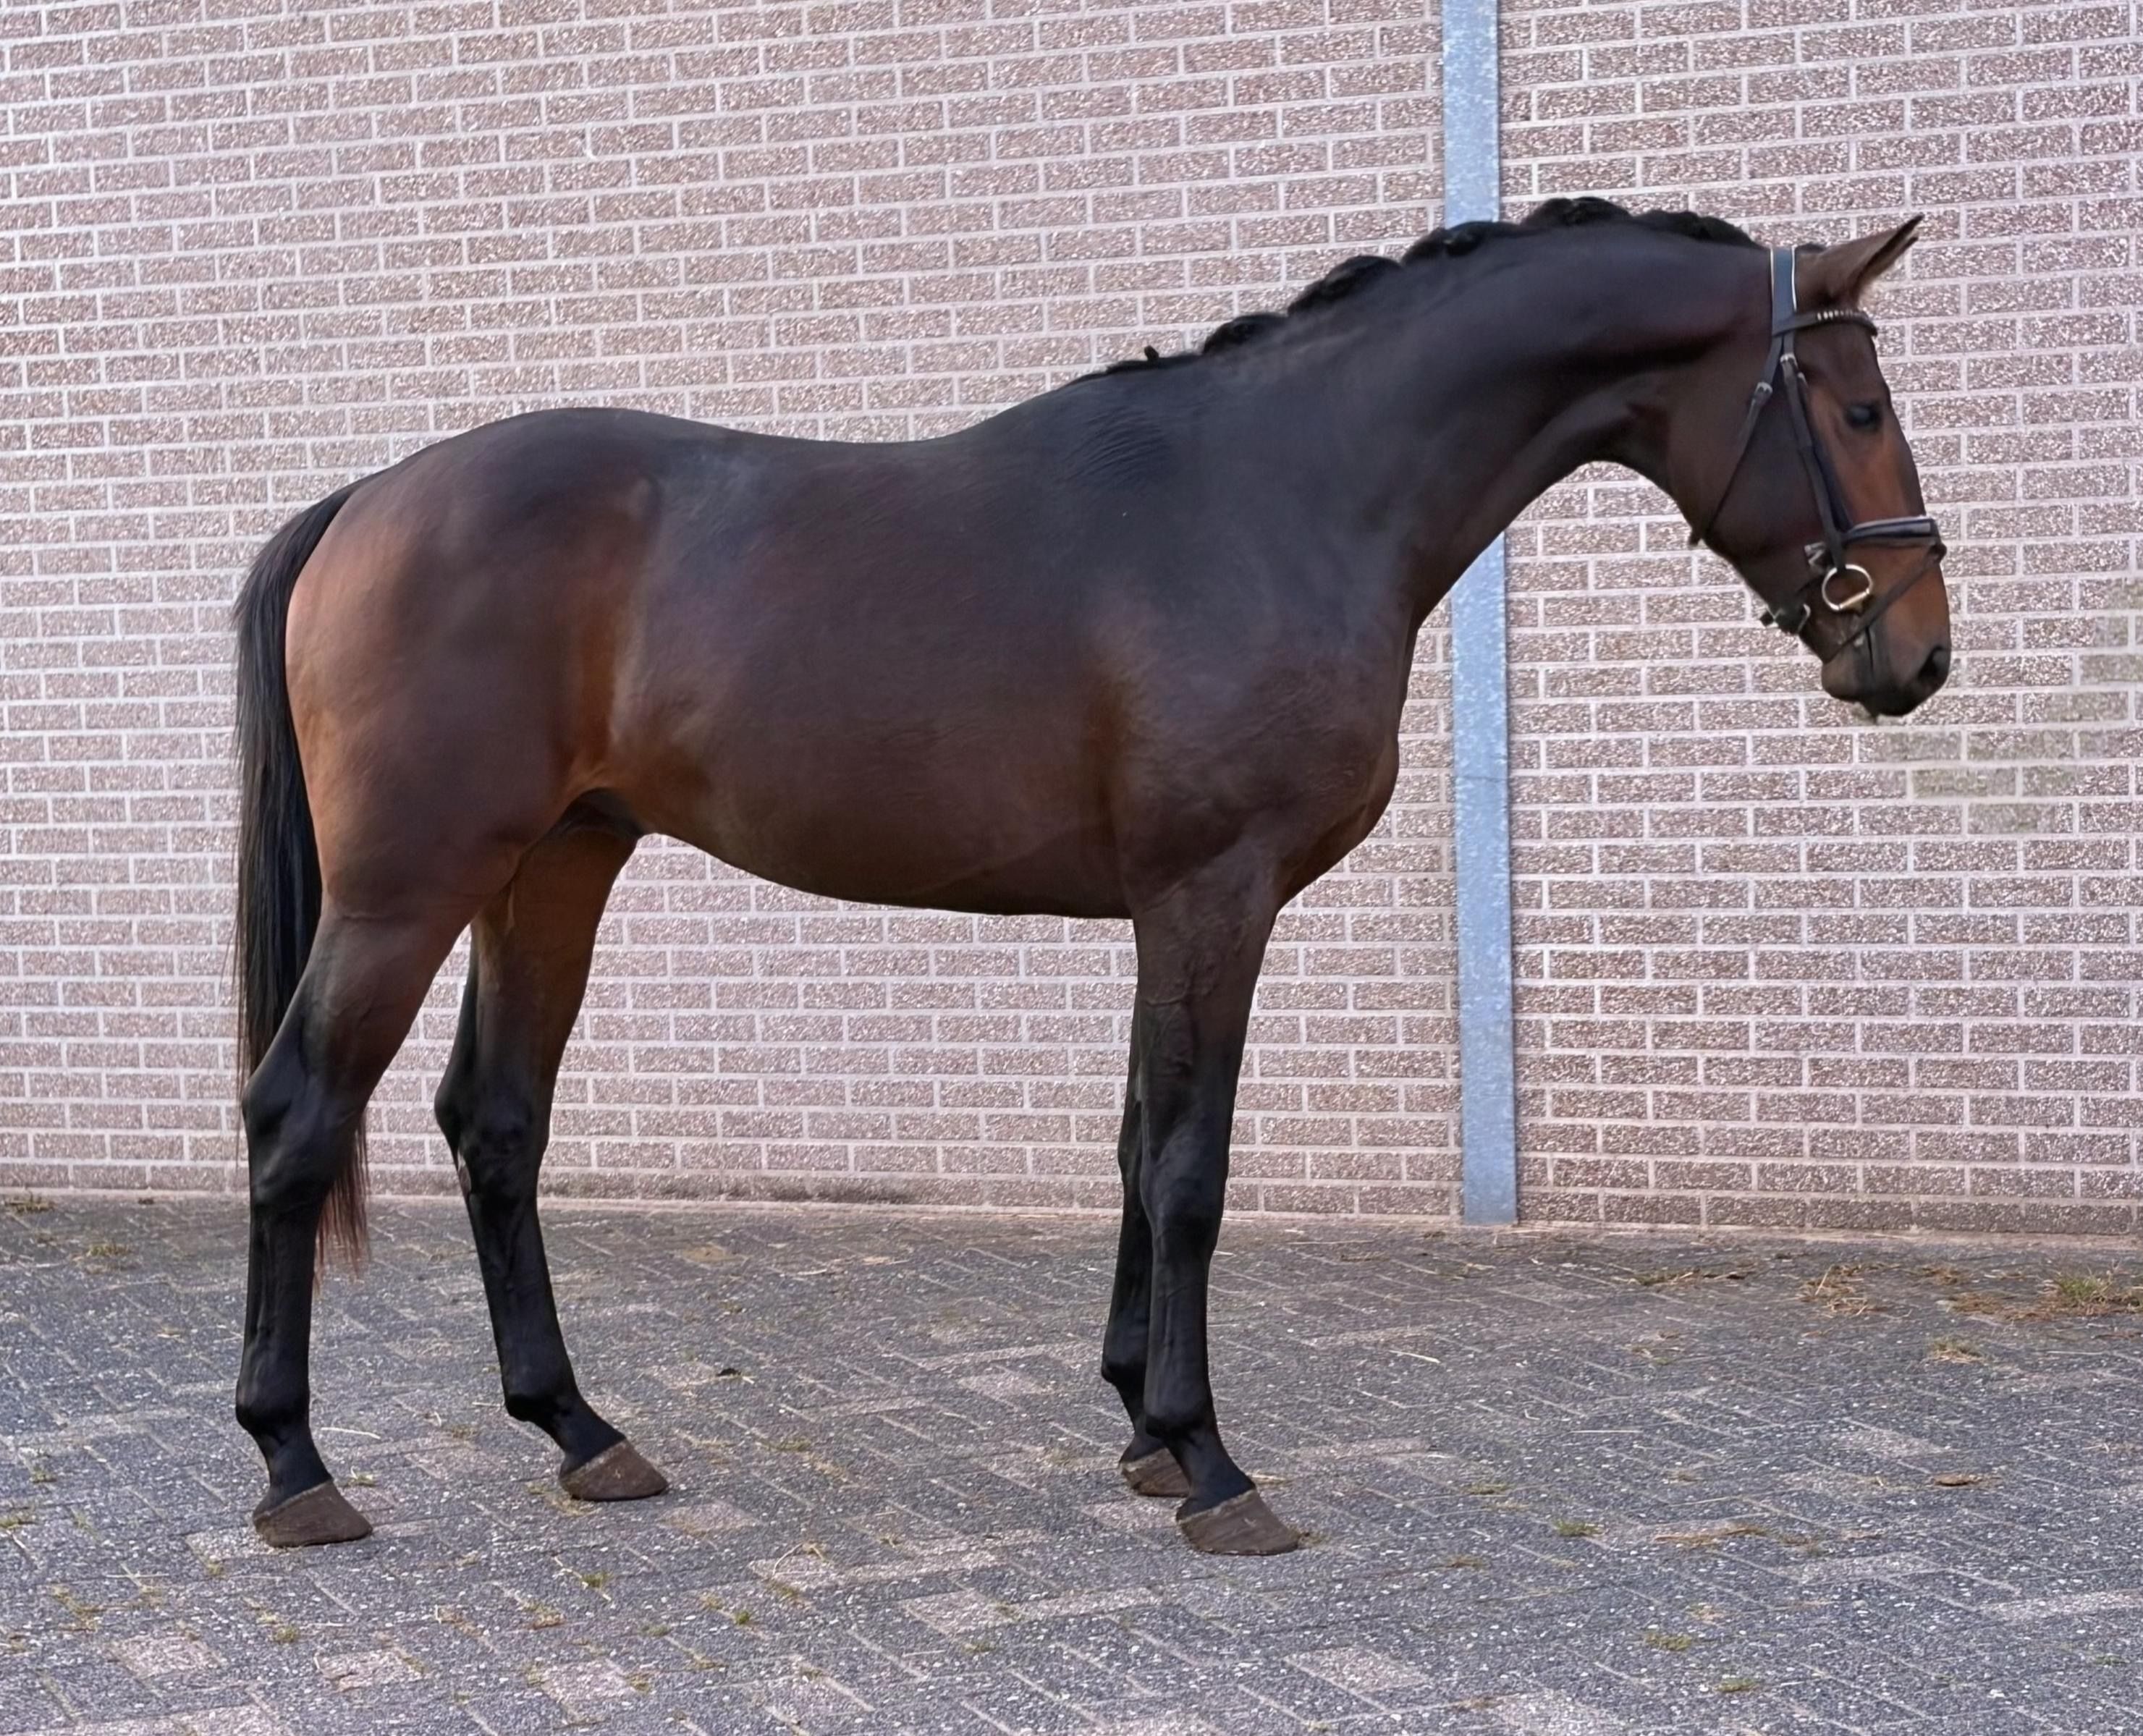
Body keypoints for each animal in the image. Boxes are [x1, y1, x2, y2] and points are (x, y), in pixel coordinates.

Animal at [229, 197, 1950, 1555]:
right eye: (1859, 405)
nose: (1915, 654)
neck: (1282, 496)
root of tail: (366, 498)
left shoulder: (1166, 908)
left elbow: (1135, 1144)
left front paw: (1138, 1425)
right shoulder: (1214, 891)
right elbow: (1188, 1165)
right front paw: (1211, 1461)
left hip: (552, 867)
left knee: (495, 1122)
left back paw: (582, 1431)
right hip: (410, 886)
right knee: (299, 1111)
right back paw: (296, 1464)